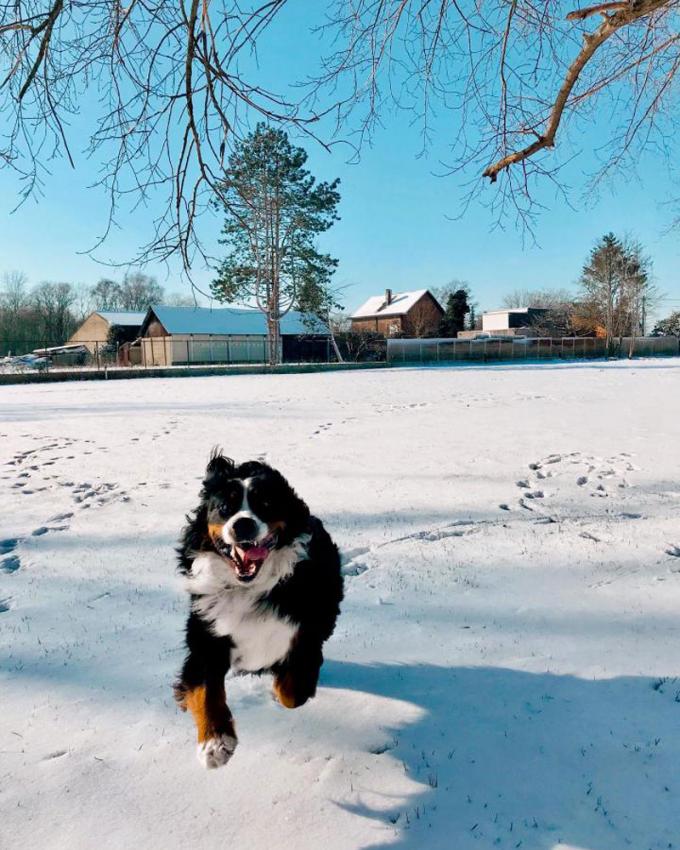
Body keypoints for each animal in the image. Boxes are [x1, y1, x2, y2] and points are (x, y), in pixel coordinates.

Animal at [173, 450, 342, 768]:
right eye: (224, 507)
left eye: (266, 504)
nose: (243, 524)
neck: (247, 588)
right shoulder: (206, 635)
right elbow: (205, 692)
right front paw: (215, 742)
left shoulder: (306, 634)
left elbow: (291, 692)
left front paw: (280, 686)